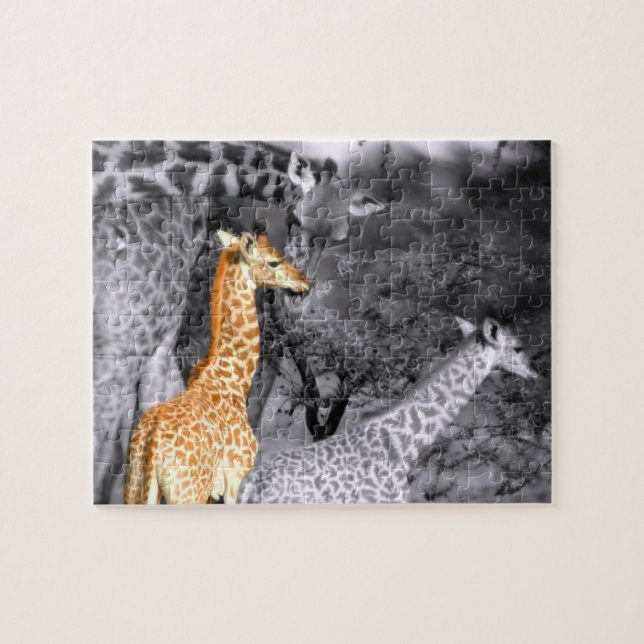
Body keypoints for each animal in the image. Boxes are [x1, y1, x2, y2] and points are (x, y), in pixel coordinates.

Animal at [123, 229, 309, 504]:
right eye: (274, 262)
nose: (303, 281)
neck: (233, 381)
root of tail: (152, 446)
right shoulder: (235, 477)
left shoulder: (214, 492)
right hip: (187, 493)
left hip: (135, 488)